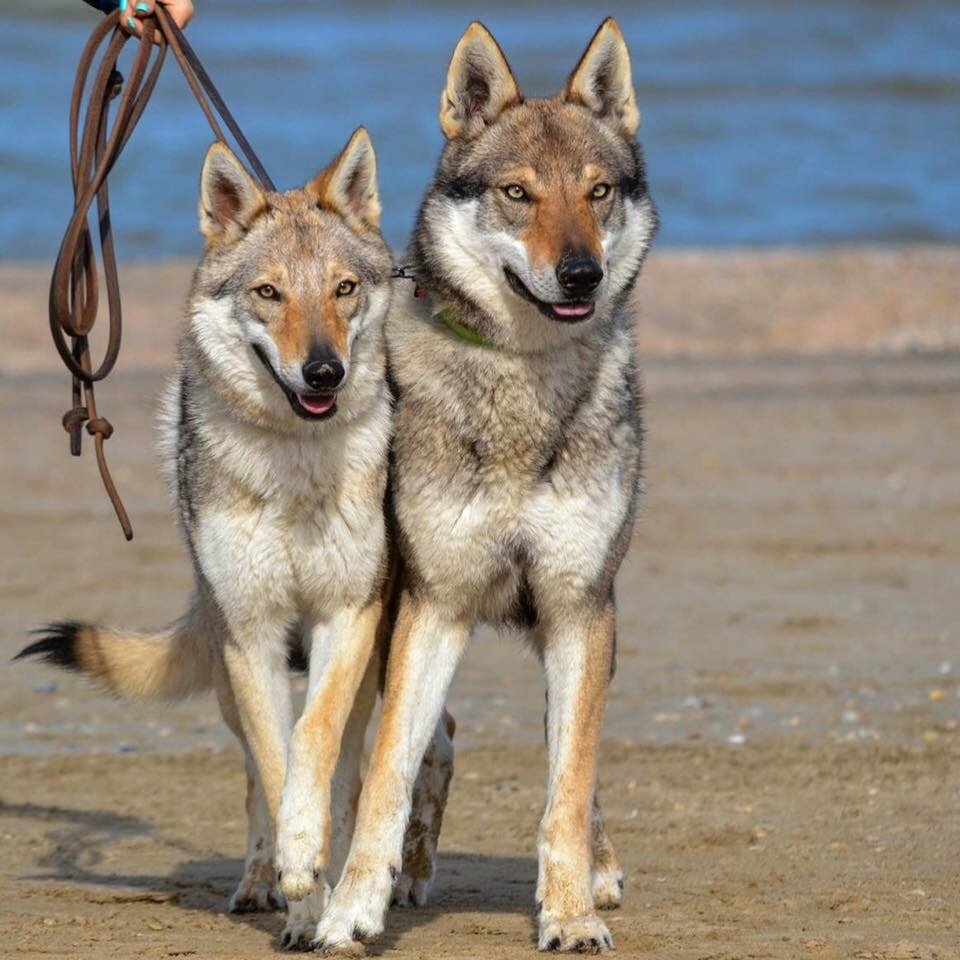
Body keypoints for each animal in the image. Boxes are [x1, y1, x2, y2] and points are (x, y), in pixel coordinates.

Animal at [16, 131, 448, 948]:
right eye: (269, 293)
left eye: (344, 289)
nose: (324, 371)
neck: (295, 471)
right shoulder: (252, 635)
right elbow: (277, 771)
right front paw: (300, 890)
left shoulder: (348, 617)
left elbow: (316, 743)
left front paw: (321, 868)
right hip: (229, 669)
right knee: (256, 775)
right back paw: (262, 882)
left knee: (395, 756)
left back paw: (395, 874)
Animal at [312, 18, 656, 956]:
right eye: (516, 194)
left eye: (598, 192)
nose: (580, 274)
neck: (521, 388)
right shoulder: (435, 607)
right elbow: (387, 775)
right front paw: (351, 908)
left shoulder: (581, 608)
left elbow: (566, 788)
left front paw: (569, 912)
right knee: (434, 742)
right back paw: (410, 876)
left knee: (572, 763)